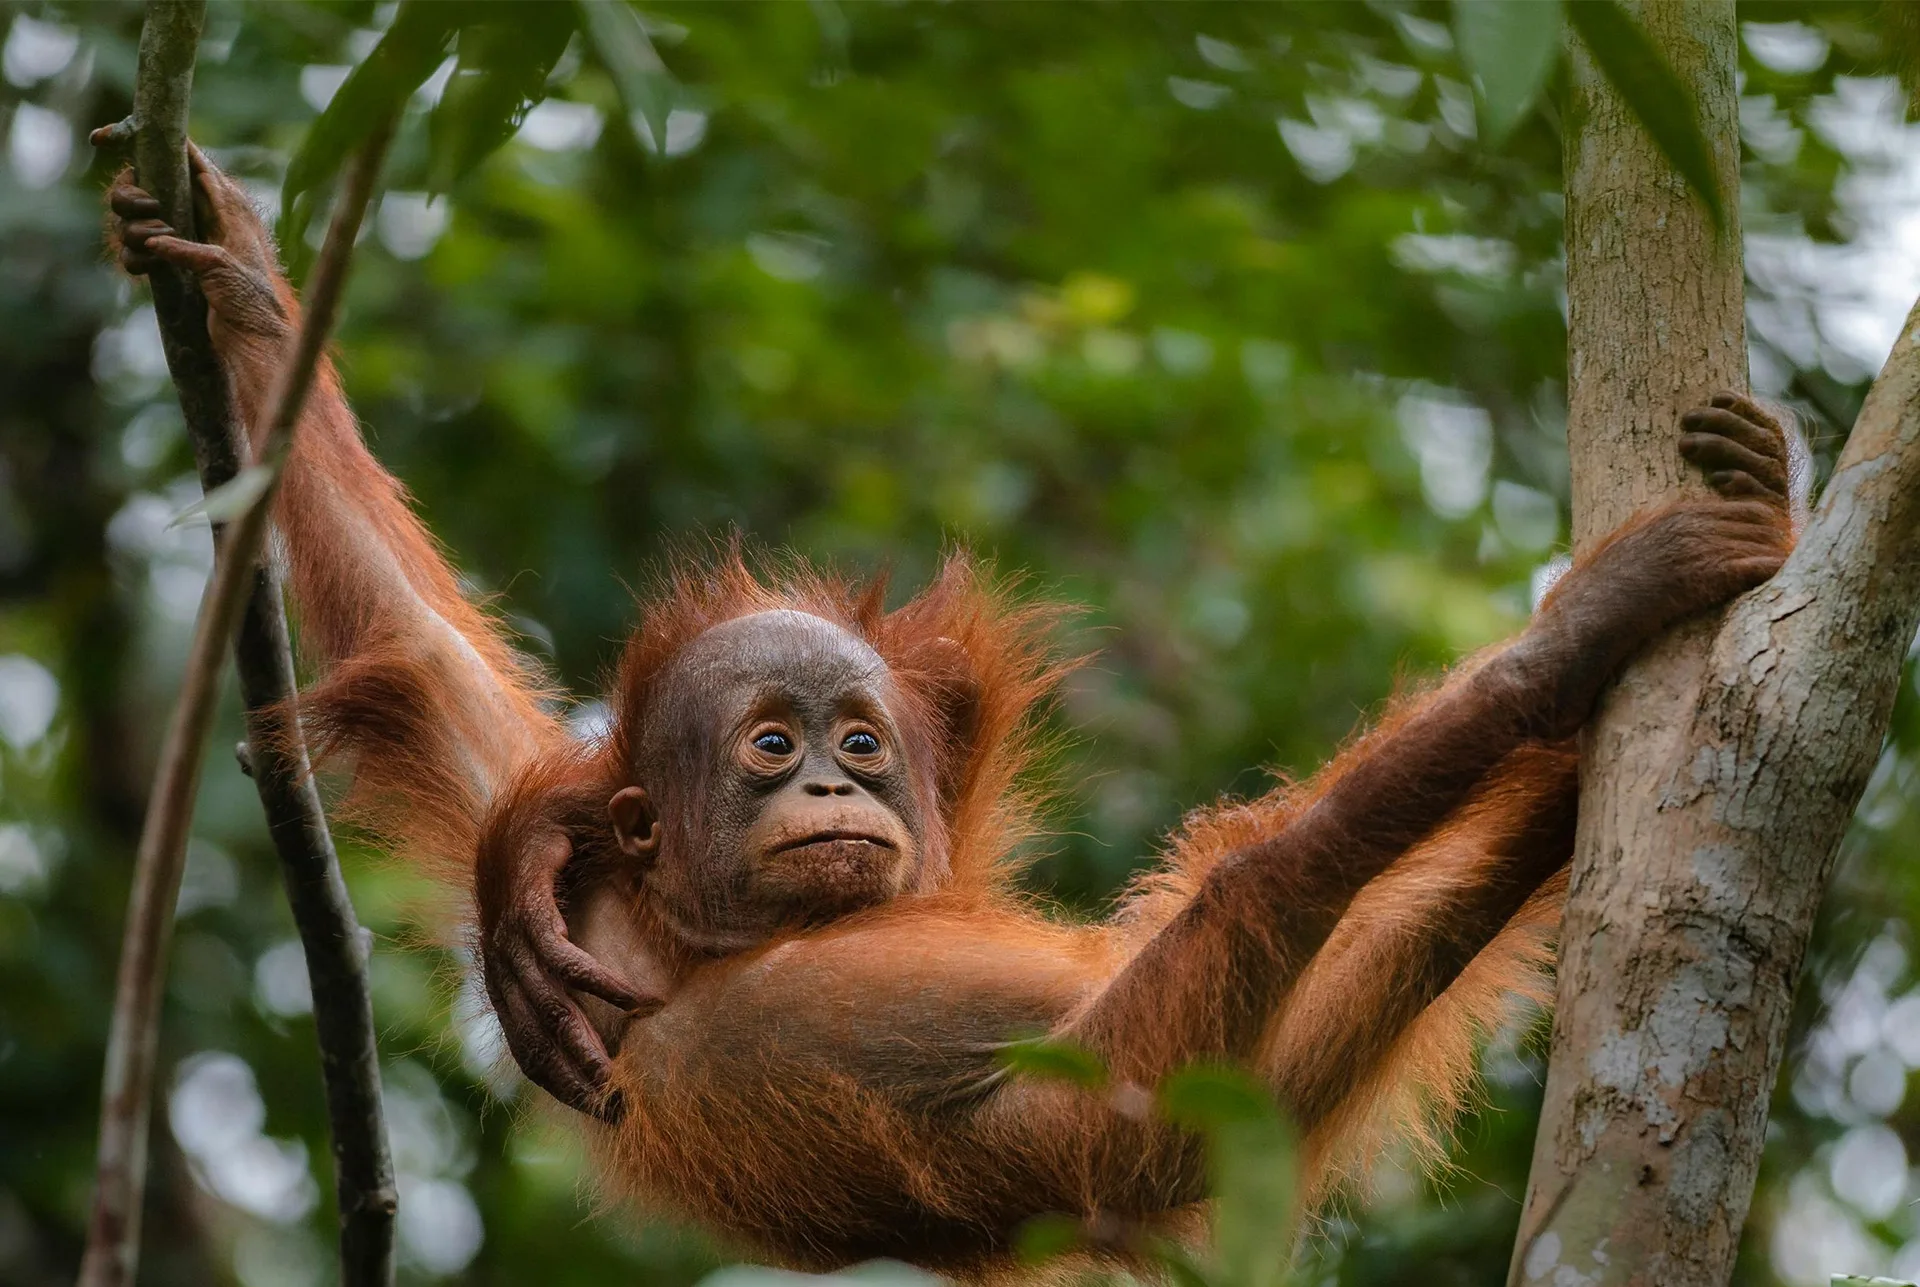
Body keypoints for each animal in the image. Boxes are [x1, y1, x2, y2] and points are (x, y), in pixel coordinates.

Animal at [106, 144, 1796, 1274]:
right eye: (772, 745)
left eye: (858, 741)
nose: (836, 790)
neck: (684, 933)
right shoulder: (763, 1041)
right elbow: (1130, 1104)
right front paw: (1578, 631)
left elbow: (411, 637)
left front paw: (243, 276)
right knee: (1257, 911)